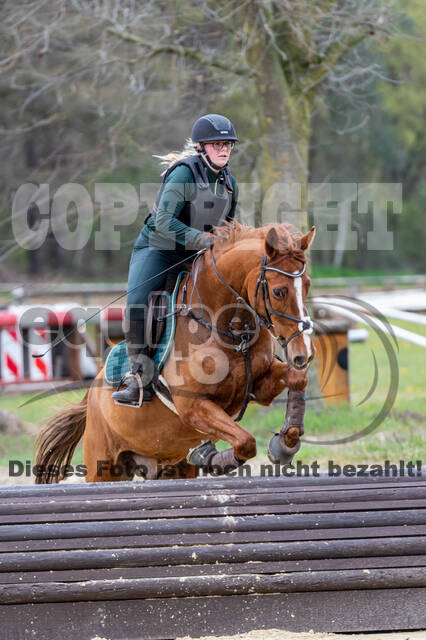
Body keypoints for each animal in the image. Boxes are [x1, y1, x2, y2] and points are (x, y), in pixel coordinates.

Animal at [35, 222, 314, 482]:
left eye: (307, 286)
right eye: (278, 291)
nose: (304, 354)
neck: (228, 331)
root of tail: (91, 393)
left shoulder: (259, 385)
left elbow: (298, 379)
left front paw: (284, 444)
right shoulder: (193, 405)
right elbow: (245, 442)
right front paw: (210, 456)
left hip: (169, 465)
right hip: (103, 465)